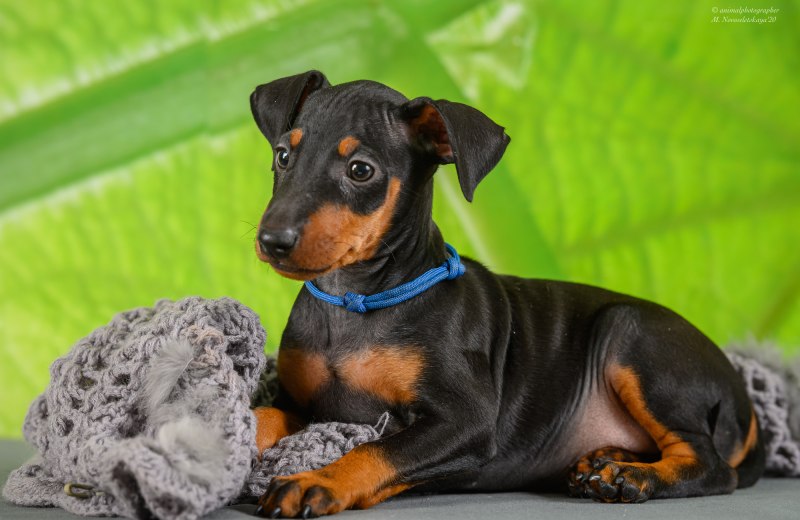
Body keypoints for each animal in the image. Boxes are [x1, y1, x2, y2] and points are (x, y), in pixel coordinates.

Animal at [248, 70, 765, 518]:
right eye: (283, 156)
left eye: (360, 170)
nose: (272, 240)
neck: (356, 300)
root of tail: (743, 397)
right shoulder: (306, 406)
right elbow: (265, 414)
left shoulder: (468, 421)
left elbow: (377, 449)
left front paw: (318, 481)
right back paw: (602, 460)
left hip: (631, 335)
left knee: (711, 465)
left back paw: (632, 477)